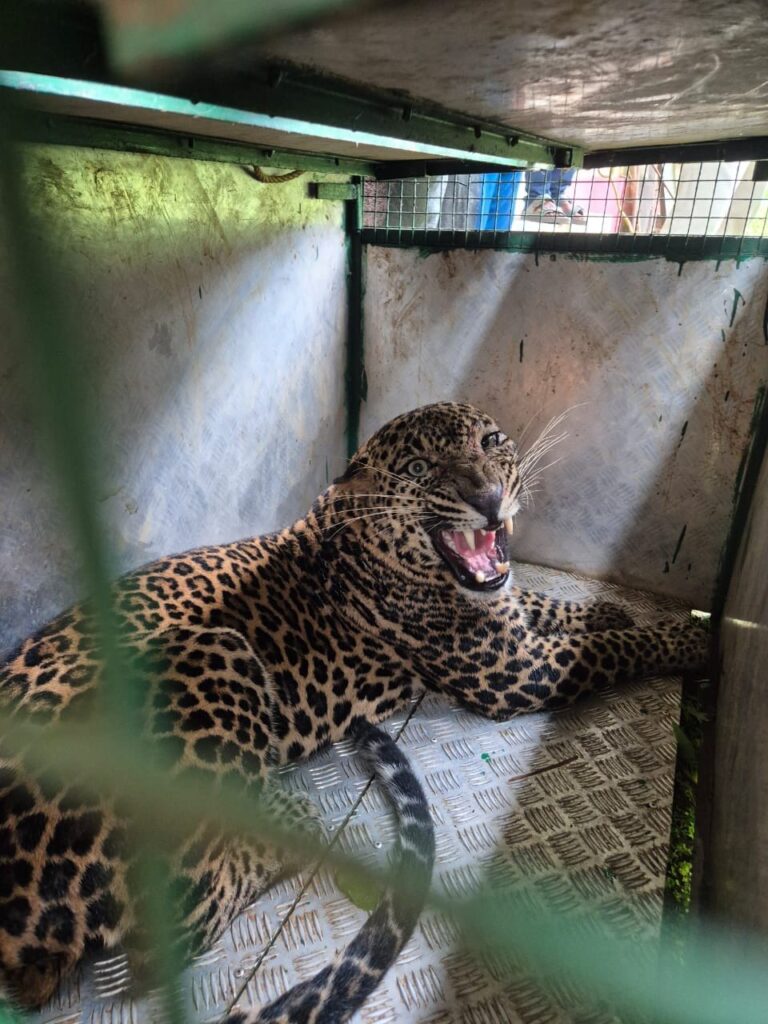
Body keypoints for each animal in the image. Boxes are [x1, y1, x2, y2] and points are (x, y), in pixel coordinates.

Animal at [0, 400, 708, 1023]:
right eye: (421, 468)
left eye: (491, 442)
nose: (488, 499)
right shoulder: (512, 672)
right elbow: (612, 650)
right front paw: (691, 636)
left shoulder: (507, 624)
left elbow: (549, 605)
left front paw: (609, 609)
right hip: (213, 655)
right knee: (167, 934)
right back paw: (286, 820)